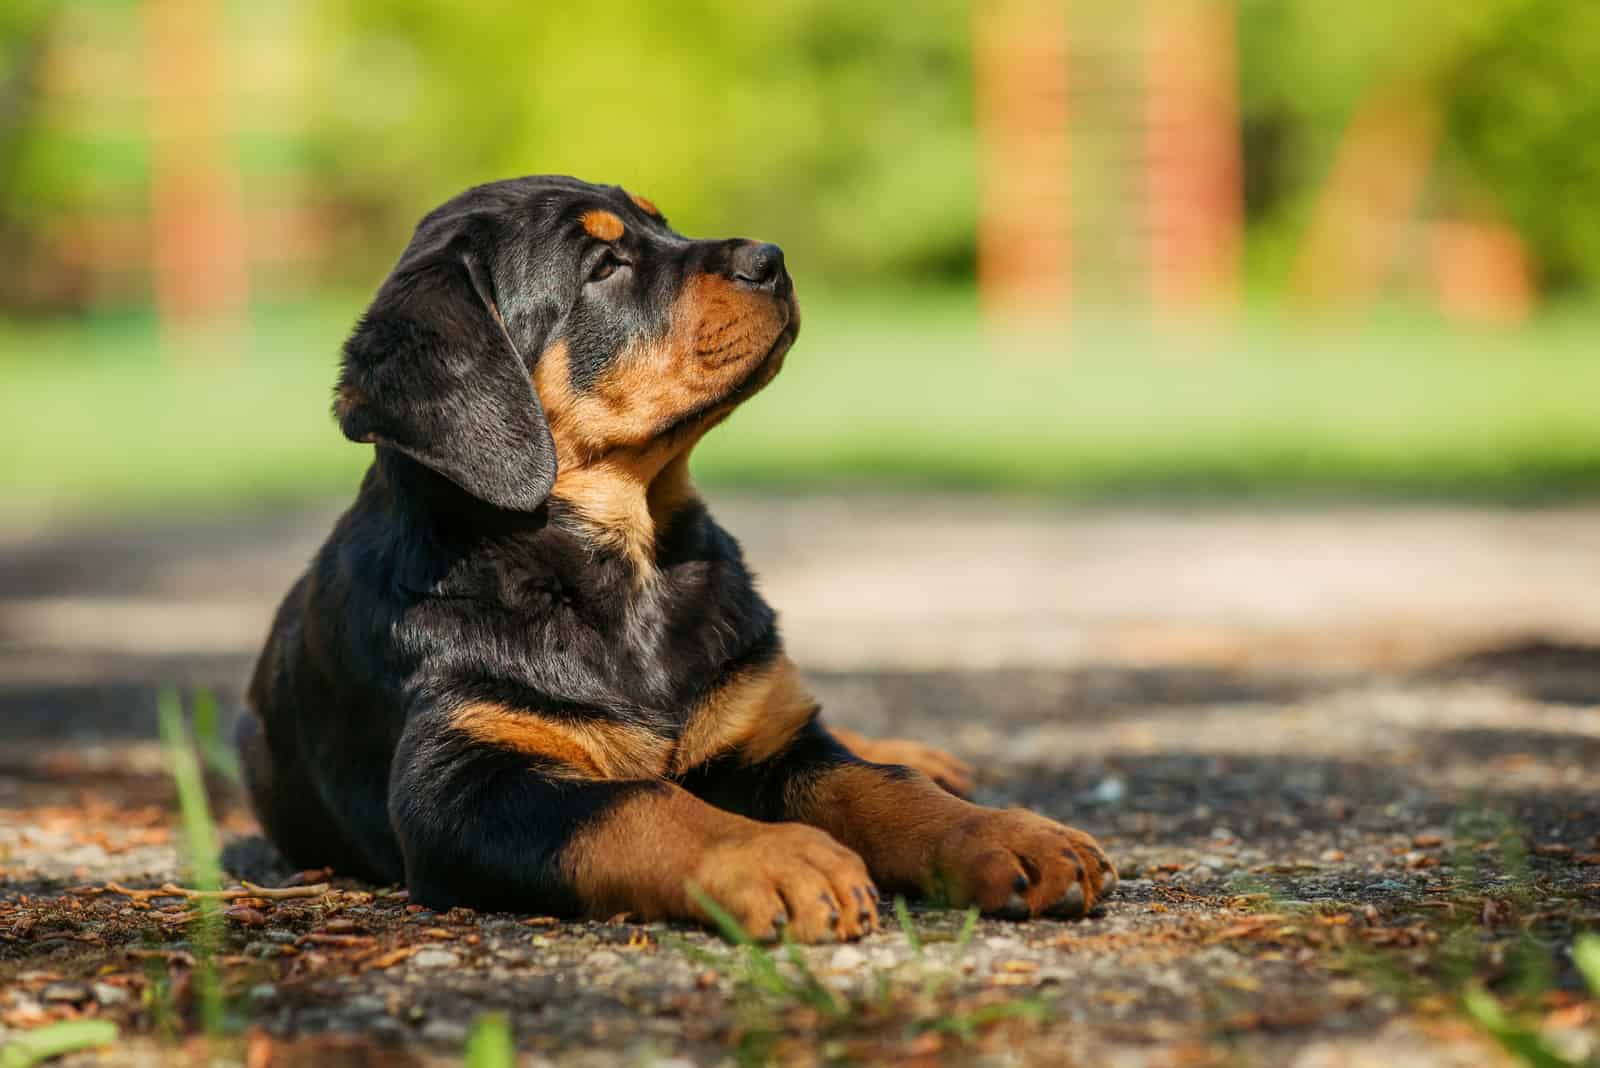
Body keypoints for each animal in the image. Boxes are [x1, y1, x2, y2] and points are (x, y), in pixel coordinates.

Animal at [240, 177, 1113, 940]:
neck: (628, 570)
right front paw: (777, 857)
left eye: (660, 221)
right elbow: (638, 805)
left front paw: (1010, 834)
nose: (771, 257)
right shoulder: (460, 782)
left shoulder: (762, 737)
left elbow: (875, 786)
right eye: (604, 265)